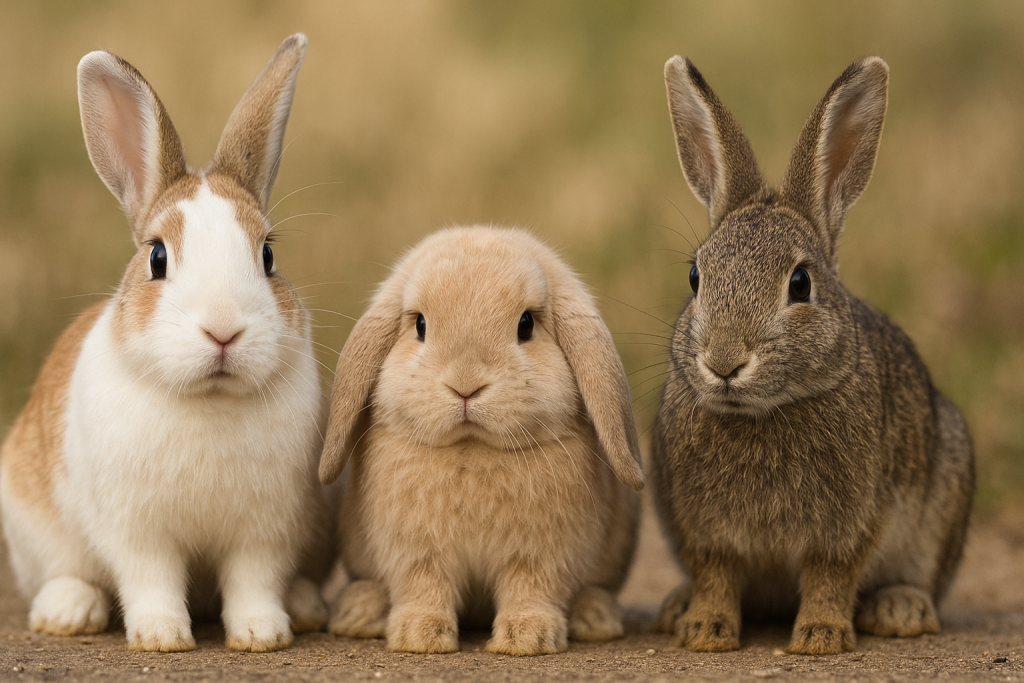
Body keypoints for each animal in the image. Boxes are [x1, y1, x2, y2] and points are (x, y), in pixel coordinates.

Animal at [0, 34, 332, 652]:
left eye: (268, 255)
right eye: (157, 257)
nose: (223, 330)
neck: (209, 398)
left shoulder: (265, 531)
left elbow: (254, 581)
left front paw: (262, 633)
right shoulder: (137, 532)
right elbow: (149, 579)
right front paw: (161, 636)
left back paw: (305, 608)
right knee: (64, 574)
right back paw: (69, 611)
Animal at [317, 226, 644, 655]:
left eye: (526, 325)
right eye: (420, 325)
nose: (465, 385)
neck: (472, 449)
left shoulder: (541, 554)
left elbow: (531, 590)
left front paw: (527, 639)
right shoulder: (417, 552)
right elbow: (424, 588)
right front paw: (419, 637)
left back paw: (595, 619)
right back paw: (359, 615)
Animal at [650, 56, 975, 655]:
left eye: (800, 284)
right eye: (695, 277)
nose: (723, 362)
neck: (761, 414)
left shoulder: (851, 522)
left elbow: (830, 576)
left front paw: (820, 637)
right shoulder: (701, 528)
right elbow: (715, 574)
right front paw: (705, 630)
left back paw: (900, 608)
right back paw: (676, 608)